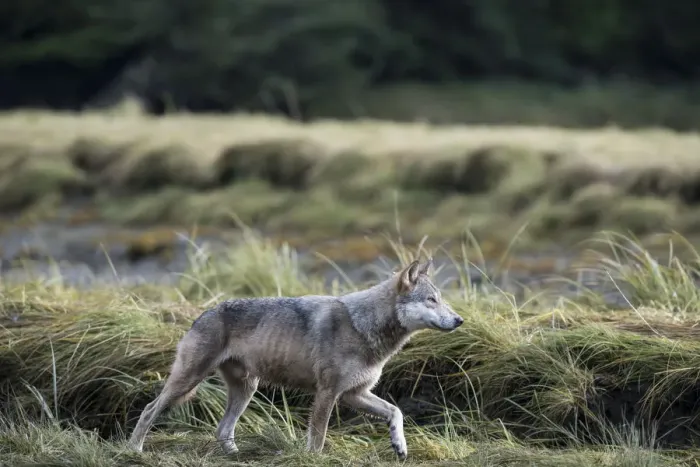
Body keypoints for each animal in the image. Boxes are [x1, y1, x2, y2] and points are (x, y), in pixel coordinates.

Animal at [128, 257, 464, 460]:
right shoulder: (329, 393)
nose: (460, 320)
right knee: (149, 410)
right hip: (189, 382)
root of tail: (203, 313)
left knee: (222, 430)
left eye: (442, 300)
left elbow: (397, 412)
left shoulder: (354, 394)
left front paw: (399, 445)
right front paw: (314, 459)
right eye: (431, 300)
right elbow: (318, 436)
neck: (363, 326)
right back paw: (134, 450)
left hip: (246, 389)